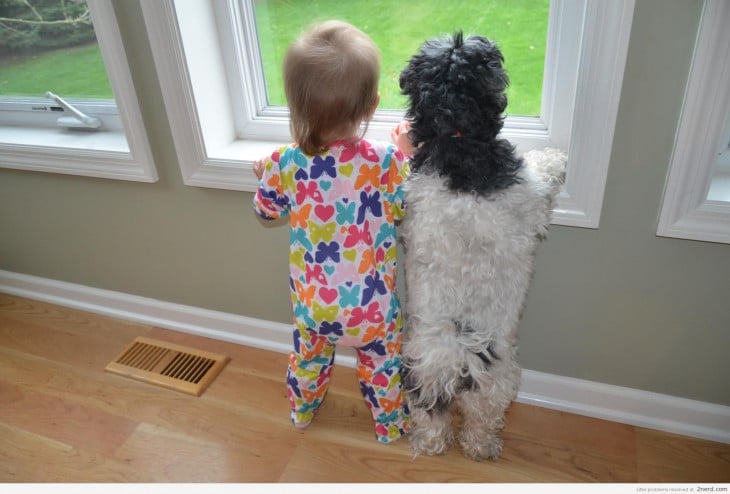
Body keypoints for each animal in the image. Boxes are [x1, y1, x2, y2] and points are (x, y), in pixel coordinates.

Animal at [396, 32, 564, 462]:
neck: (457, 142)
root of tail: (456, 355)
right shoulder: (529, 194)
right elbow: (543, 174)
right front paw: (556, 157)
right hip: (499, 380)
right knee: (483, 418)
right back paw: (482, 446)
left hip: (420, 373)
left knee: (431, 415)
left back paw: (430, 442)